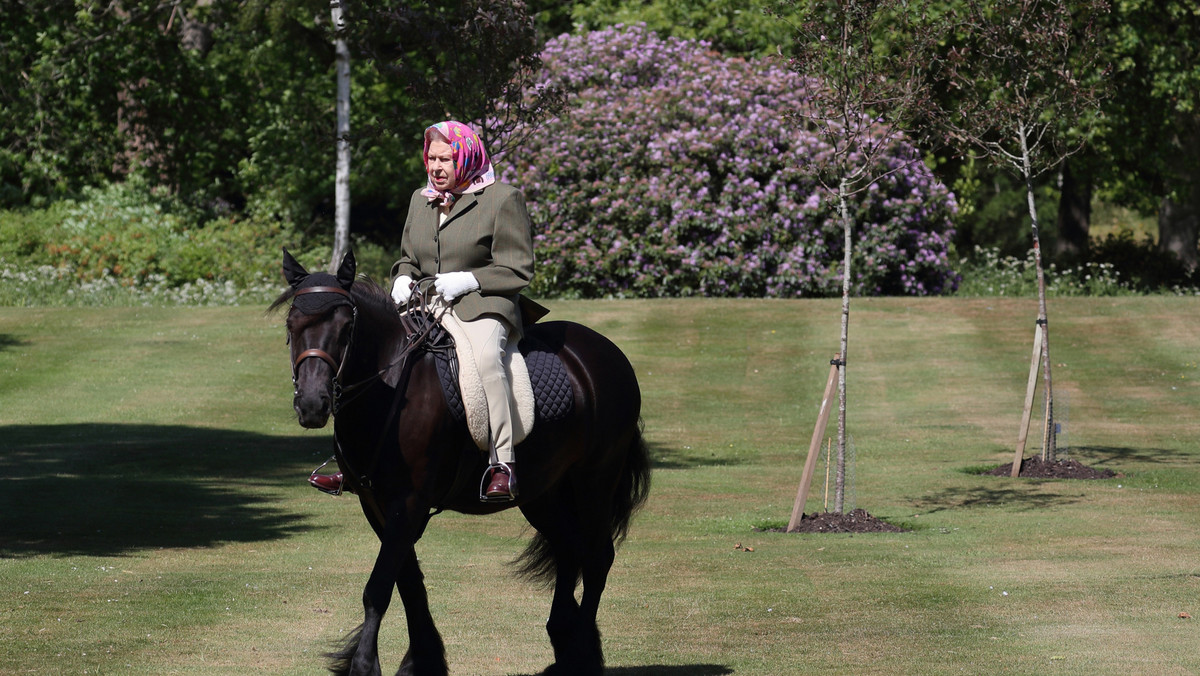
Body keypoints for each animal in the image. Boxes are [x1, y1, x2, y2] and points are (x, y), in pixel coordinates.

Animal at [272, 252, 652, 676]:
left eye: (346, 327)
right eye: (291, 325)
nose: (312, 404)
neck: (391, 385)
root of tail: (606, 352)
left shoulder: (409, 502)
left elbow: (379, 588)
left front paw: (365, 665)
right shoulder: (377, 505)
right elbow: (408, 582)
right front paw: (421, 660)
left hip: (595, 480)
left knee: (597, 557)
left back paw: (582, 653)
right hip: (543, 492)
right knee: (569, 549)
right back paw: (564, 646)